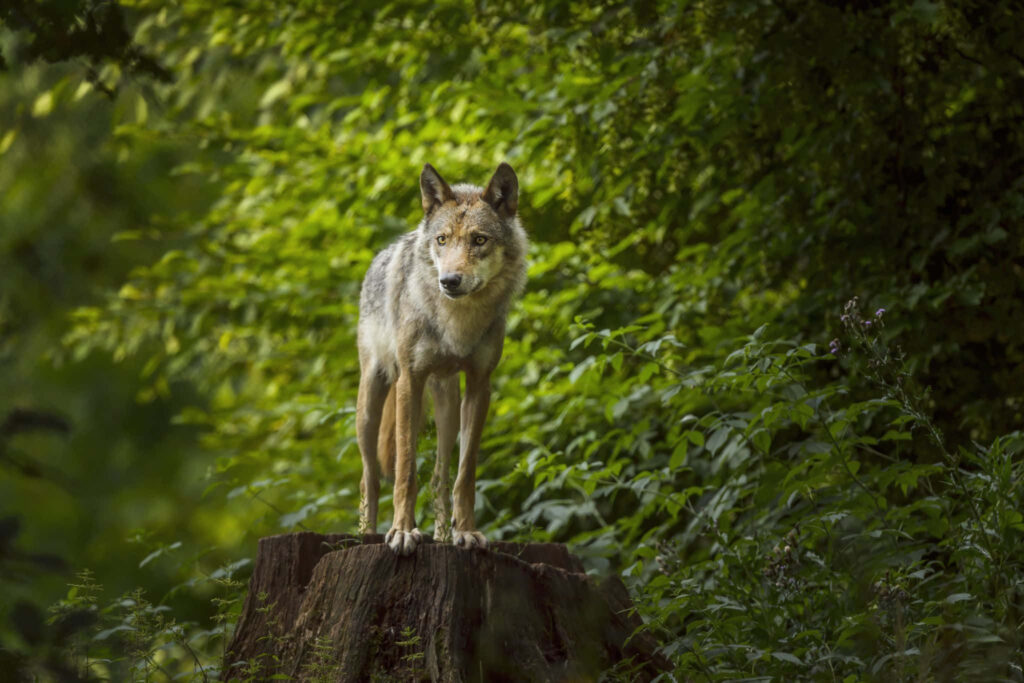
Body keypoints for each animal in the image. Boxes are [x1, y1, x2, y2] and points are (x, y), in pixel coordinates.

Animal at [356, 162, 528, 556]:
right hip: (371, 404)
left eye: (479, 240)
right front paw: (402, 532)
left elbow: (465, 474)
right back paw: (368, 535)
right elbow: (405, 470)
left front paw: (466, 532)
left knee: (438, 476)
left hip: (447, 408)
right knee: (369, 477)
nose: (449, 281)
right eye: (442, 240)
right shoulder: (410, 381)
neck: (458, 323)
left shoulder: (480, 386)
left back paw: (442, 537)